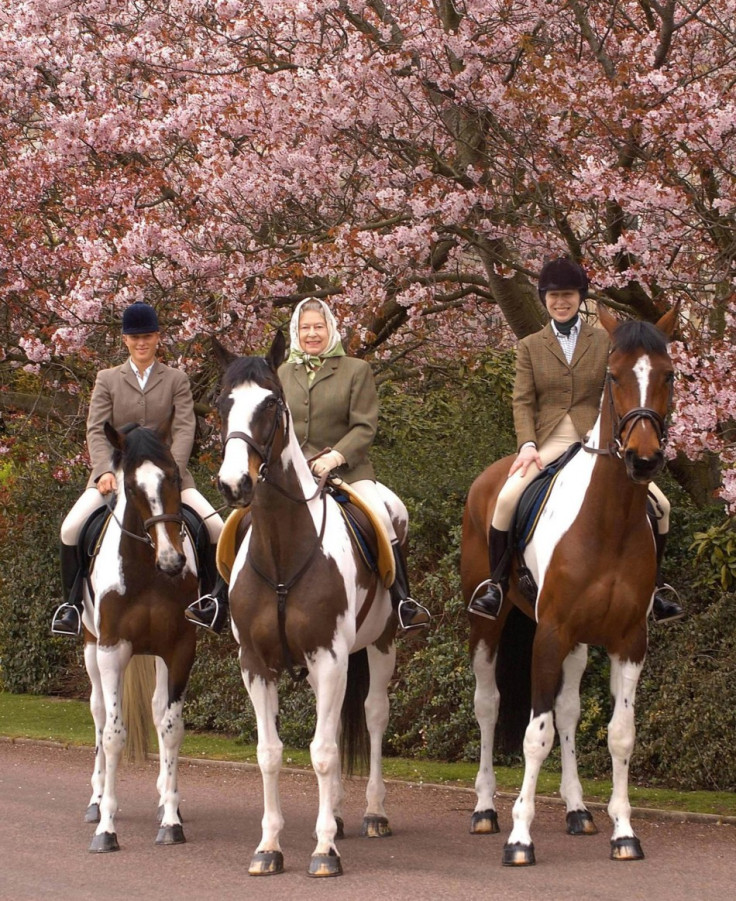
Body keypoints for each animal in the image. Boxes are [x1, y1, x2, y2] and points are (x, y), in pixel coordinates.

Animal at [81, 422, 198, 852]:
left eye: (175, 477)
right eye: (131, 487)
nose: (172, 561)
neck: (147, 572)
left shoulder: (180, 649)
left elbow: (171, 727)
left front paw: (171, 821)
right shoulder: (112, 650)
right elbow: (113, 735)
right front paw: (106, 829)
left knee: (157, 709)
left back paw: (168, 801)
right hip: (90, 648)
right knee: (100, 715)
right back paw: (97, 800)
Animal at [213, 334, 406, 876]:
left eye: (270, 403)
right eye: (222, 403)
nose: (233, 484)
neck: (282, 548)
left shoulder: (329, 656)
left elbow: (321, 751)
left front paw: (323, 851)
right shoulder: (256, 664)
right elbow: (270, 753)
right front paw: (269, 847)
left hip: (379, 646)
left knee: (374, 715)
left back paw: (373, 813)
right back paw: (336, 815)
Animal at [462, 304, 676, 864]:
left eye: (669, 375)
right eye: (614, 375)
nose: (643, 459)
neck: (609, 518)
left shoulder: (629, 641)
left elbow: (619, 734)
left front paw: (624, 832)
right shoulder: (550, 633)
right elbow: (534, 735)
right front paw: (520, 837)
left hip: (580, 641)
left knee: (568, 711)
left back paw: (579, 811)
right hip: (487, 624)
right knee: (489, 705)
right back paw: (486, 809)